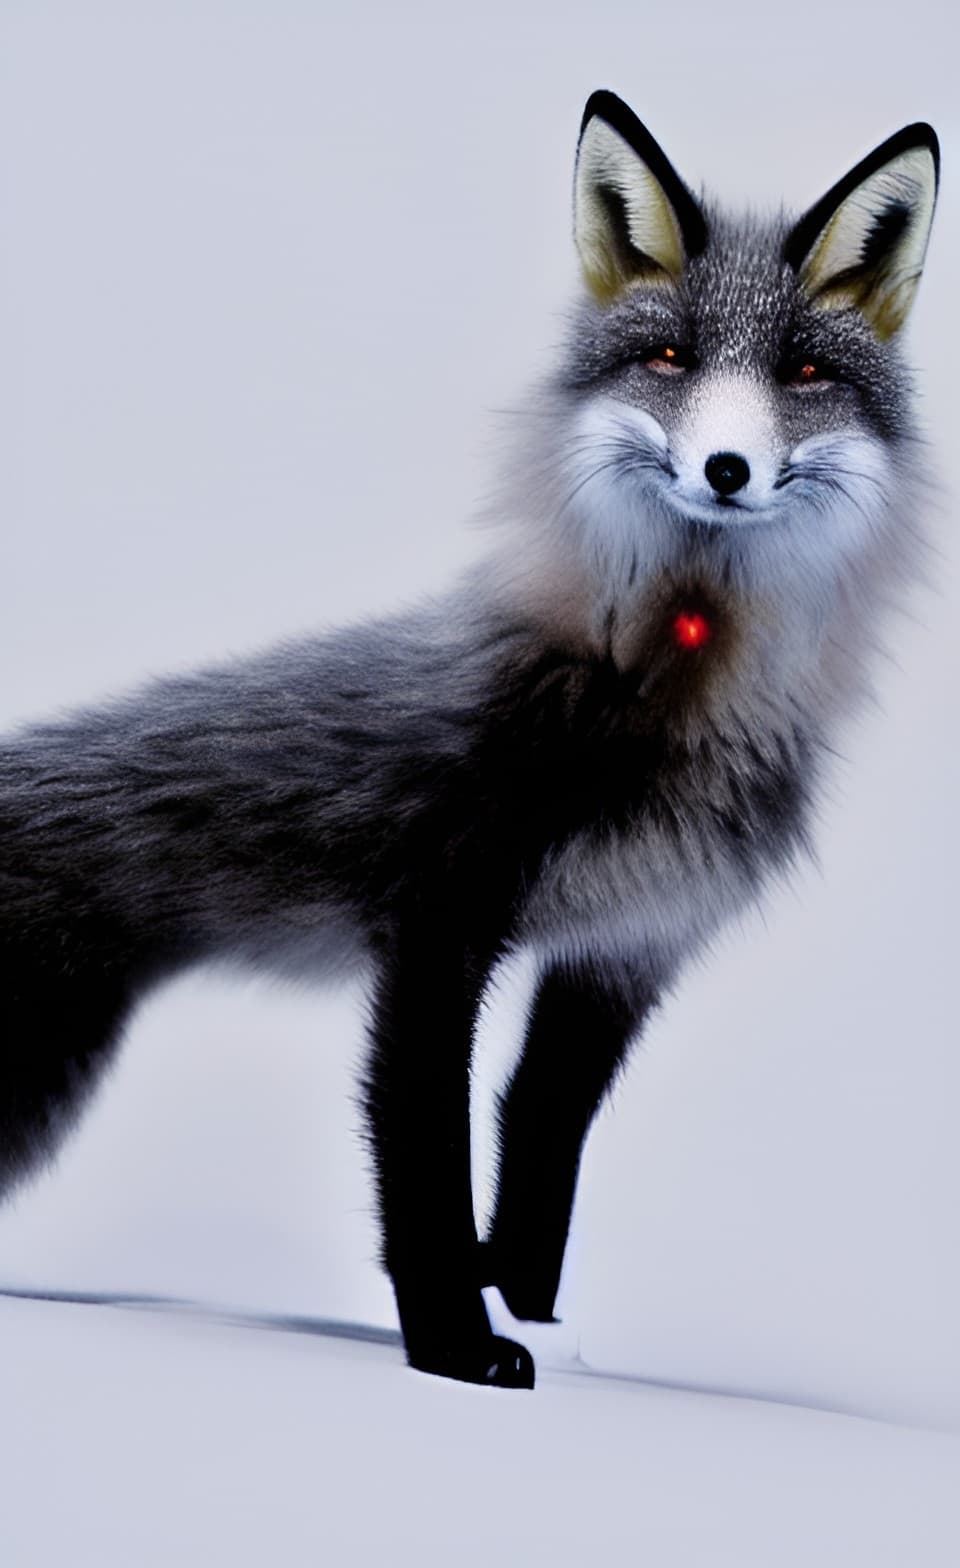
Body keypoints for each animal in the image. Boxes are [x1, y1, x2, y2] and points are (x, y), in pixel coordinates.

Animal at [0, 91, 940, 1389]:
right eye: (670, 358)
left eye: (803, 369)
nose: (727, 467)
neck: (660, 686)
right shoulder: (440, 923)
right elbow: (427, 1158)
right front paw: (452, 1338)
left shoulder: (625, 952)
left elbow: (536, 1147)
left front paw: (529, 1310)